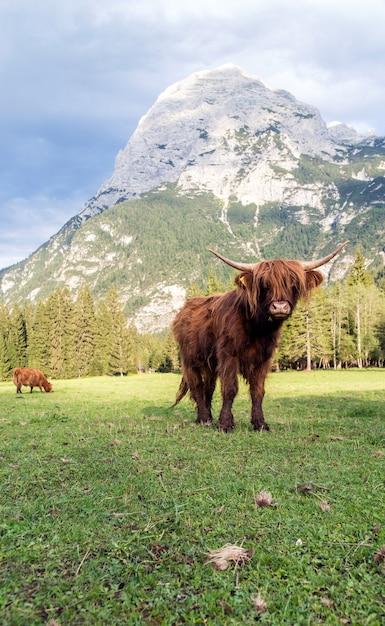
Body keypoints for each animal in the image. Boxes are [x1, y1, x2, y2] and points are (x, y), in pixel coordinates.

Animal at [172, 241, 346, 432]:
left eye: (293, 283)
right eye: (264, 283)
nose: (279, 307)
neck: (258, 329)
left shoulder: (264, 358)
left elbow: (258, 391)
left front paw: (260, 423)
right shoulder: (228, 354)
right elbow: (230, 388)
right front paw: (225, 424)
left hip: (209, 363)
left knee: (208, 387)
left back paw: (206, 418)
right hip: (190, 359)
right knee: (197, 385)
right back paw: (204, 419)